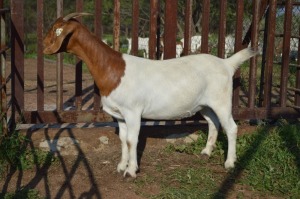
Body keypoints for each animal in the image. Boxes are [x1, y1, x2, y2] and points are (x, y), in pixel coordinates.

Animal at [44, 12, 258, 177]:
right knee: (213, 123)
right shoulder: (119, 114)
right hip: (204, 104)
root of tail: (226, 63)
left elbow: (132, 140)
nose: (43, 45)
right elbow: (123, 140)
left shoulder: (133, 112)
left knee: (231, 127)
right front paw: (121, 166)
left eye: (55, 29)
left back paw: (229, 162)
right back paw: (206, 151)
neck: (112, 68)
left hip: (221, 100)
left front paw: (131, 171)